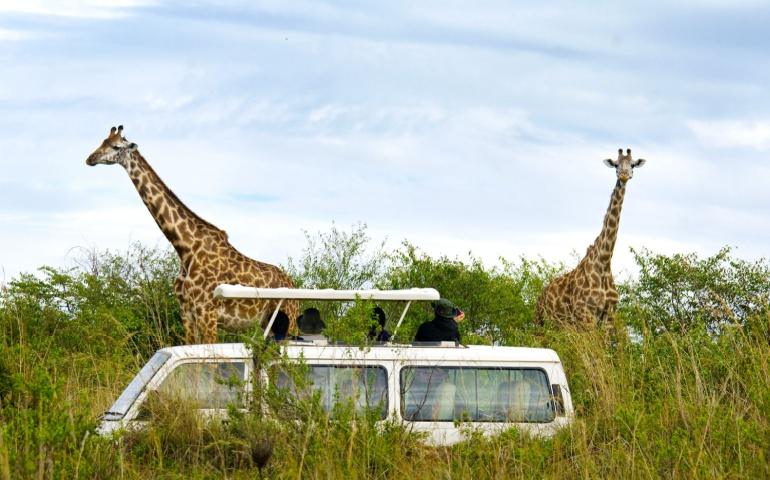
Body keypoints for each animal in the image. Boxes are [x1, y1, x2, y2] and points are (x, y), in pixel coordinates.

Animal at [85, 125, 299, 344]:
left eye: (116, 146)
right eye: (103, 141)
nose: (90, 158)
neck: (184, 247)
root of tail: (293, 283)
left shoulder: (207, 312)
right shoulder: (187, 311)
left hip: (289, 319)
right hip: (268, 323)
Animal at [535, 148, 646, 329]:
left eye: (633, 164)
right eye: (616, 164)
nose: (623, 175)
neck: (604, 262)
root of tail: (540, 297)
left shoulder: (608, 316)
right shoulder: (585, 315)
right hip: (541, 322)